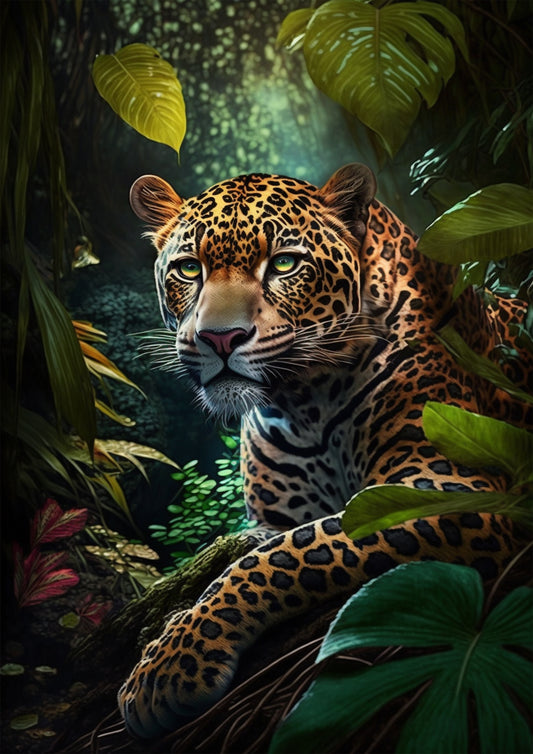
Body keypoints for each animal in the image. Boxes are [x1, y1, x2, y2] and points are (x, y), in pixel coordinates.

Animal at [119, 163, 532, 738]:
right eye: (188, 269)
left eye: (284, 264)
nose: (219, 339)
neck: (302, 402)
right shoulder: (271, 516)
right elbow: (256, 546)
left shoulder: (442, 488)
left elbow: (280, 554)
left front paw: (171, 660)